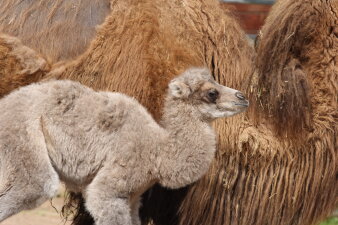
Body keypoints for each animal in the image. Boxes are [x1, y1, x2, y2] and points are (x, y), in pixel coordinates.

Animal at [0, 67, 248, 225]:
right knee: (36, 184)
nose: (243, 97)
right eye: (212, 93)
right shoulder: (109, 189)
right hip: (23, 140)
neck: (158, 151)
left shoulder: (134, 198)